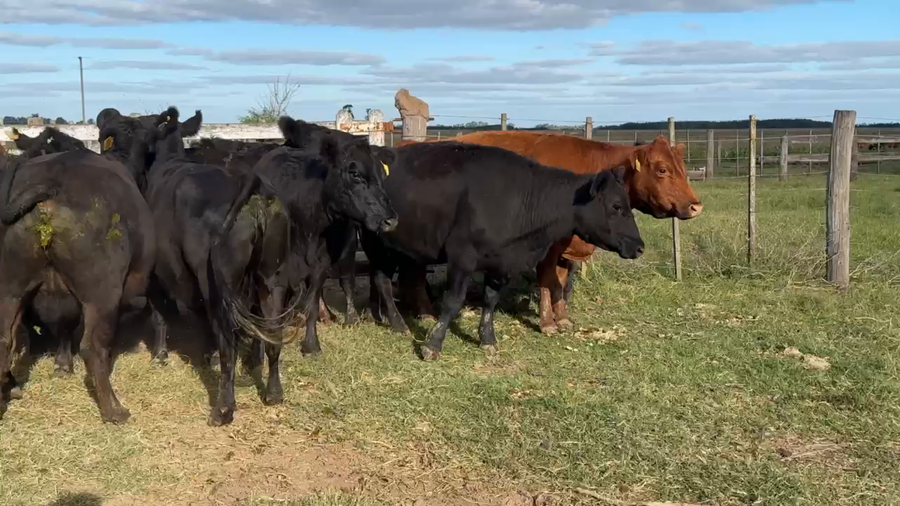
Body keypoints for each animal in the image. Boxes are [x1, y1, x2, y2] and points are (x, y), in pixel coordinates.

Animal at [0, 137, 156, 423]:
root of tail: (52, 184)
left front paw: (63, 365)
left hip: (11, 290)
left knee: (5, 341)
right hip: (101, 296)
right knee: (91, 347)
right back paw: (114, 410)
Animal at [359, 140, 644, 361]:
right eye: (616, 206)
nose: (640, 246)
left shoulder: (503, 263)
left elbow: (490, 301)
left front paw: (488, 339)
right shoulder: (462, 256)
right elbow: (453, 302)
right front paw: (433, 345)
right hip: (376, 243)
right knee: (383, 281)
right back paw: (398, 323)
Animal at [396, 131, 702, 334]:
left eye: (683, 168)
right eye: (662, 169)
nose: (696, 206)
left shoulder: (568, 246)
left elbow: (562, 281)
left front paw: (562, 317)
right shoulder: (548, 245)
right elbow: (547, 279)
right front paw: (546, 323)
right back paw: (425, 312)